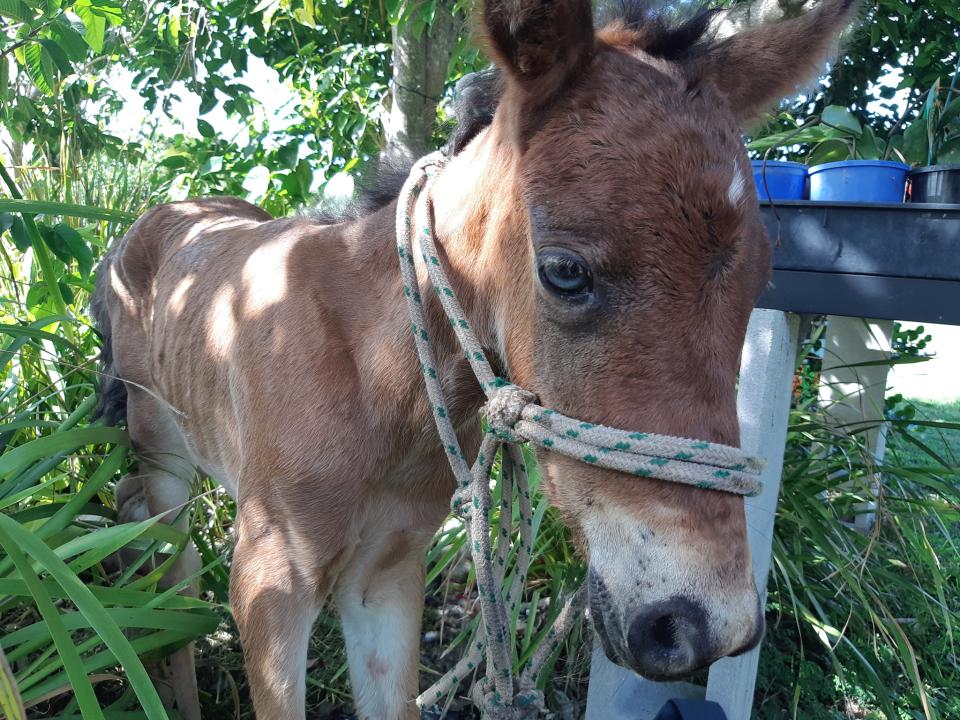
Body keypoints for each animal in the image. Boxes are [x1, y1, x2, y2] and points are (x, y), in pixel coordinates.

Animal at [95, 0, 864, 716]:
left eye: (761, 278)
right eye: (564, 271)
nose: (702, 624)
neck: (367, 382)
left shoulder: (387, 575)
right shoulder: (270, 581)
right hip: (164, 461)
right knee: (168, 558)